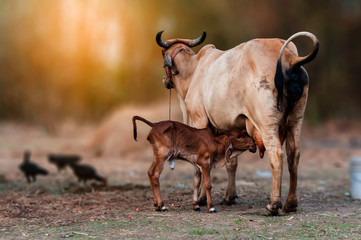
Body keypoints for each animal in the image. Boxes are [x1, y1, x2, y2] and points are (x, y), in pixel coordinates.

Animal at [155, 30, 318, 216]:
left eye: (162, 54)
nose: (165, 81)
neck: (193, 71)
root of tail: (289, 58)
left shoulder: (199, 120)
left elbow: (201, 165)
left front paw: (201, 199)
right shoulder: (231, 129)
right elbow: (231, 162)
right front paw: (229, 197)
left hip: (266, 123)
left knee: (276, 154)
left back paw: (273, 205)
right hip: (295, 121)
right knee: (294, 154)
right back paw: (290, 204)